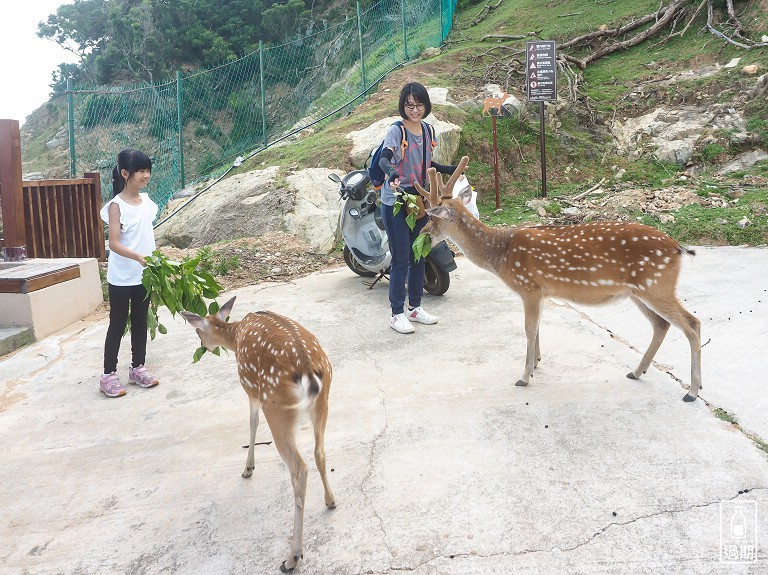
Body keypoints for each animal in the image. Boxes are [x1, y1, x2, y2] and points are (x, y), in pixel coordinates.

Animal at [182, 300, 338, 572]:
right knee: (319, 452)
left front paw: (248, 469)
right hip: (323, 401)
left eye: (198, 330)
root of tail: (309, 372)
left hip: (275, 406)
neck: (236, 336)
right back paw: (330, 501)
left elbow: (252, 422)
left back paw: (292, 557)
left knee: (299, 468)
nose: (202, 346)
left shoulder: (251, 389)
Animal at [416, 155, 704, 402]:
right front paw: (536, 364)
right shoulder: (542, 291)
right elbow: (538, 327)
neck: (501, 253)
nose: (423, 233)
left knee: (692, 323)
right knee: (661, 325)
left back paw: (692, 391)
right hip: (639, 291)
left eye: (433, 215)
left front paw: (524, 376)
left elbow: (529, 329)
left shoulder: (529, 287)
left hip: (656, 285)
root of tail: (678, 248)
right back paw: (636, 372)